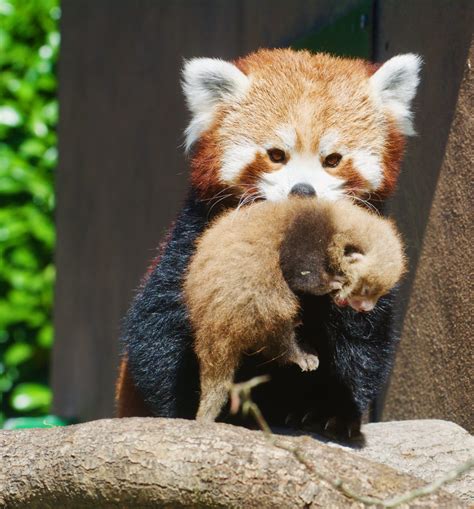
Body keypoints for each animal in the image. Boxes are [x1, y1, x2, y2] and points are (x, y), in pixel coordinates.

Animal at [116, 48, 420, 440]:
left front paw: (335, 412)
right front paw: (190, 411)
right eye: (277, 155)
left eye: (332, 160)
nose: (302, 191)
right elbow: (159, 328)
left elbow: (361, 339)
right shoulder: (196, 242)